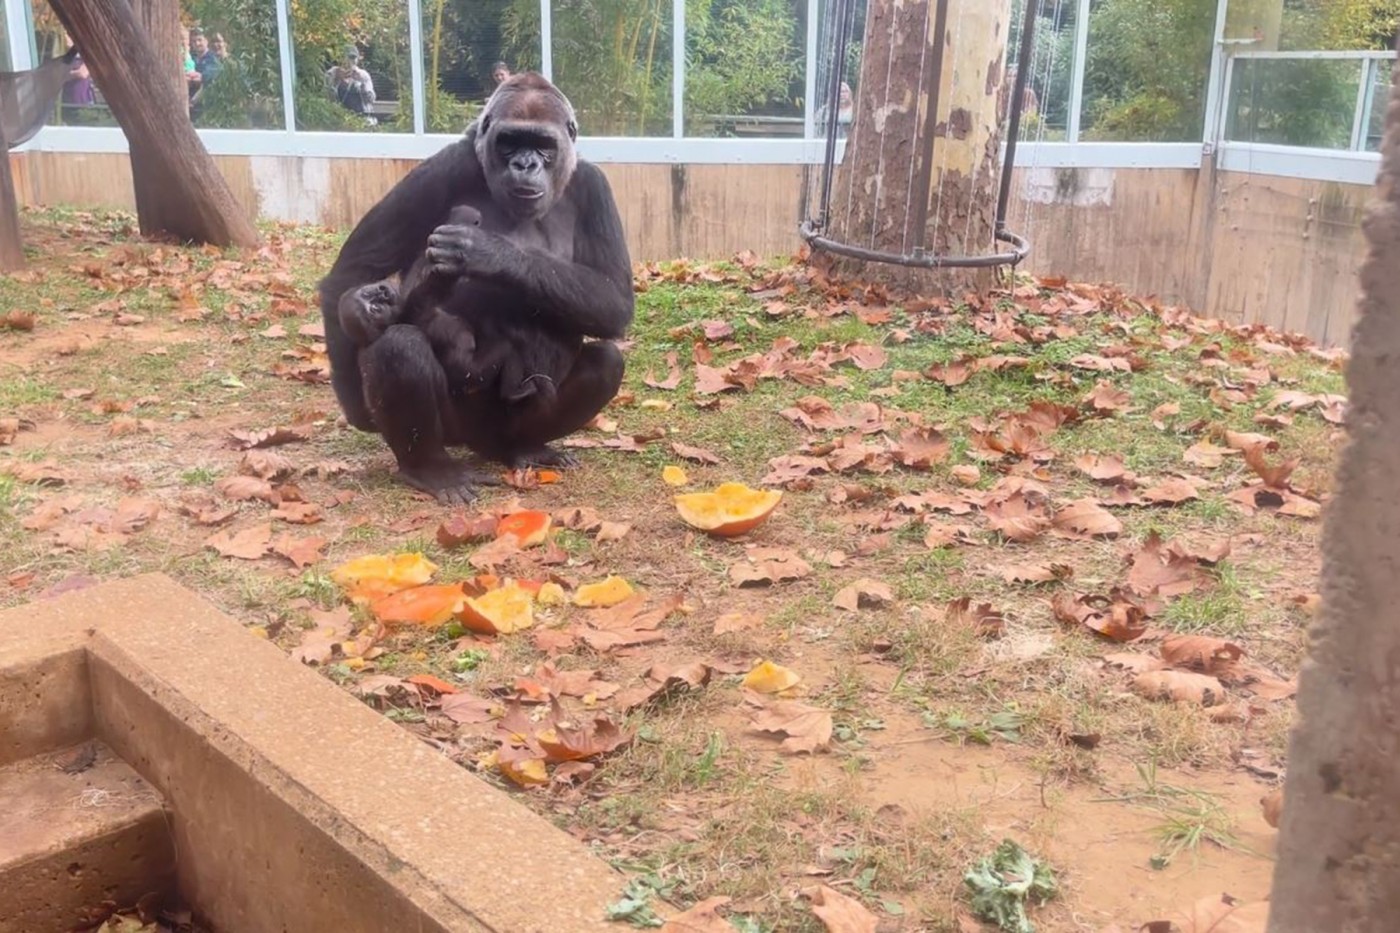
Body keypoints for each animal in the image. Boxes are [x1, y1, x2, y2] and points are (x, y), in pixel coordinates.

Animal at [338, 205, 574, 406]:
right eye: (374, 308)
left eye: (370, 292)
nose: (382, 292)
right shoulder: (414, 307)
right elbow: (437, 280)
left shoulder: (404, 294)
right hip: (476, 374)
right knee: (506, 352)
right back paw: (514, 391)